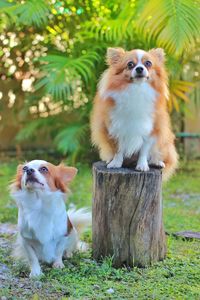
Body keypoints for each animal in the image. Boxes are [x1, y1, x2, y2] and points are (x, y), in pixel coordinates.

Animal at [90, 46, 178, 178]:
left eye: (148, 63)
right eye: (130, 64)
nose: (139, 68)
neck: (137, 89)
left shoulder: (152, 129)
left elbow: (144, 150)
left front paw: (142, 165)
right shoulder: (115, 127)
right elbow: (118, 149)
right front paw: (116, 163)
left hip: (164, 142)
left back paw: (157, 162)